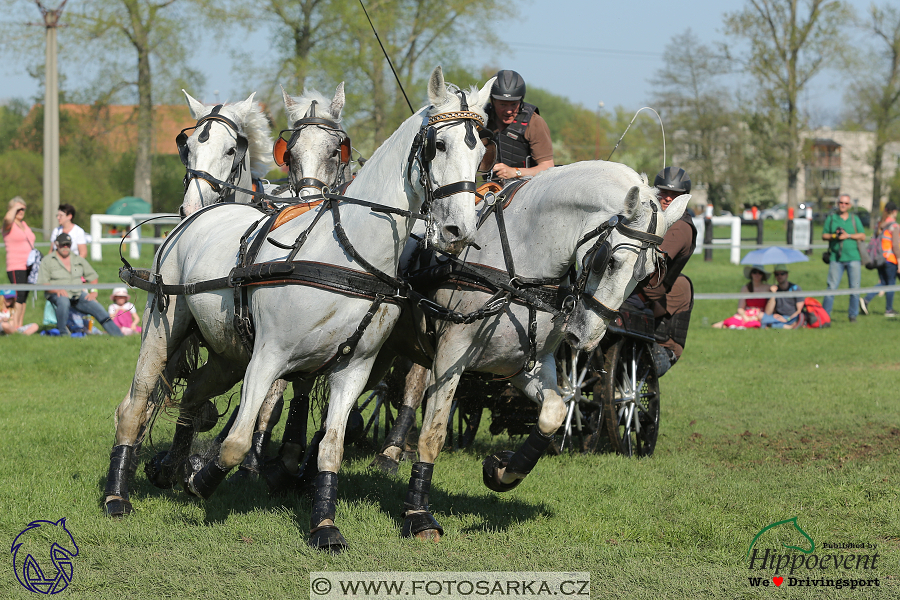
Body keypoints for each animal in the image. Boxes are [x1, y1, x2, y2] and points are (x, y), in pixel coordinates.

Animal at [106, 68, 496, 552]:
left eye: (479, 149)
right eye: (437, 145)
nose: (460, 229)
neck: (348, 253)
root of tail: (196, 218)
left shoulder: (354, 367)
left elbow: (331, 445)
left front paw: (324, 523)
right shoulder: (268, 357)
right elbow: (237, 439)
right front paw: (206, 478)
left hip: (227, 354)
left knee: (195, 395)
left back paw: (174, 466)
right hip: (165, 329)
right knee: (135, 405)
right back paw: (118, 495)